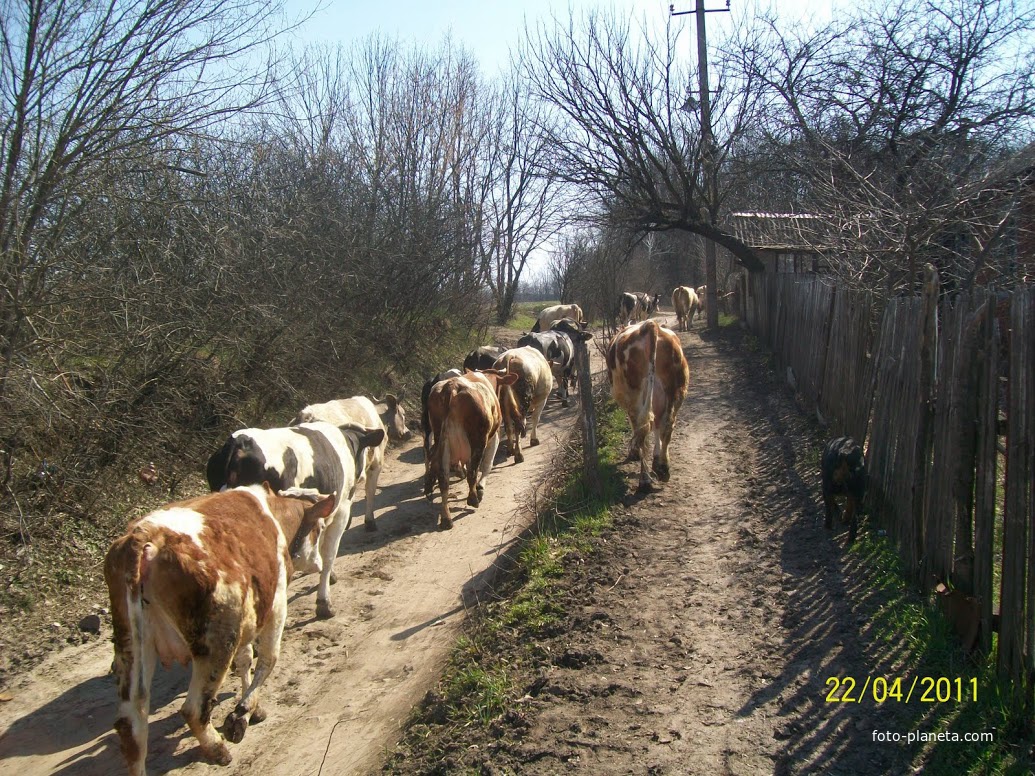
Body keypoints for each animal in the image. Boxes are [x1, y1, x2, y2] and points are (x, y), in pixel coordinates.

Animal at [103, 486, 333, 776]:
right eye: (320, 527)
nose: (318, 563)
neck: (274, 515)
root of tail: (144, 535)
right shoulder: (275, 604)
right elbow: (267, 659)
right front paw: (241, 715)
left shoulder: (249, 616)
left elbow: (245, 660)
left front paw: (254, 711)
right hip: (218, 640)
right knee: (193, 708)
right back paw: (217, 748)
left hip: (131, 646)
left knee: (131, 724)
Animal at [422, 368, 515, 529]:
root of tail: (451, 387)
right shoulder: (493, 437)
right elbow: (487, 465)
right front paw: (480, 488)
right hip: (478, 439)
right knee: (472, 471)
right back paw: (473, 499)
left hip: (442, 439)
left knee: (442, 474)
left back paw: (445, 517)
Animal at [604, 316, 691, 488]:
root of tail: (650, 325)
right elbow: (656, 427)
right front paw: (656, 459)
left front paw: (635, 453)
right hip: (676, 391)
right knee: (666, 426)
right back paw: (663, 468)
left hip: (634, 395)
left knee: (641, 429)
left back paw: (645, 479)